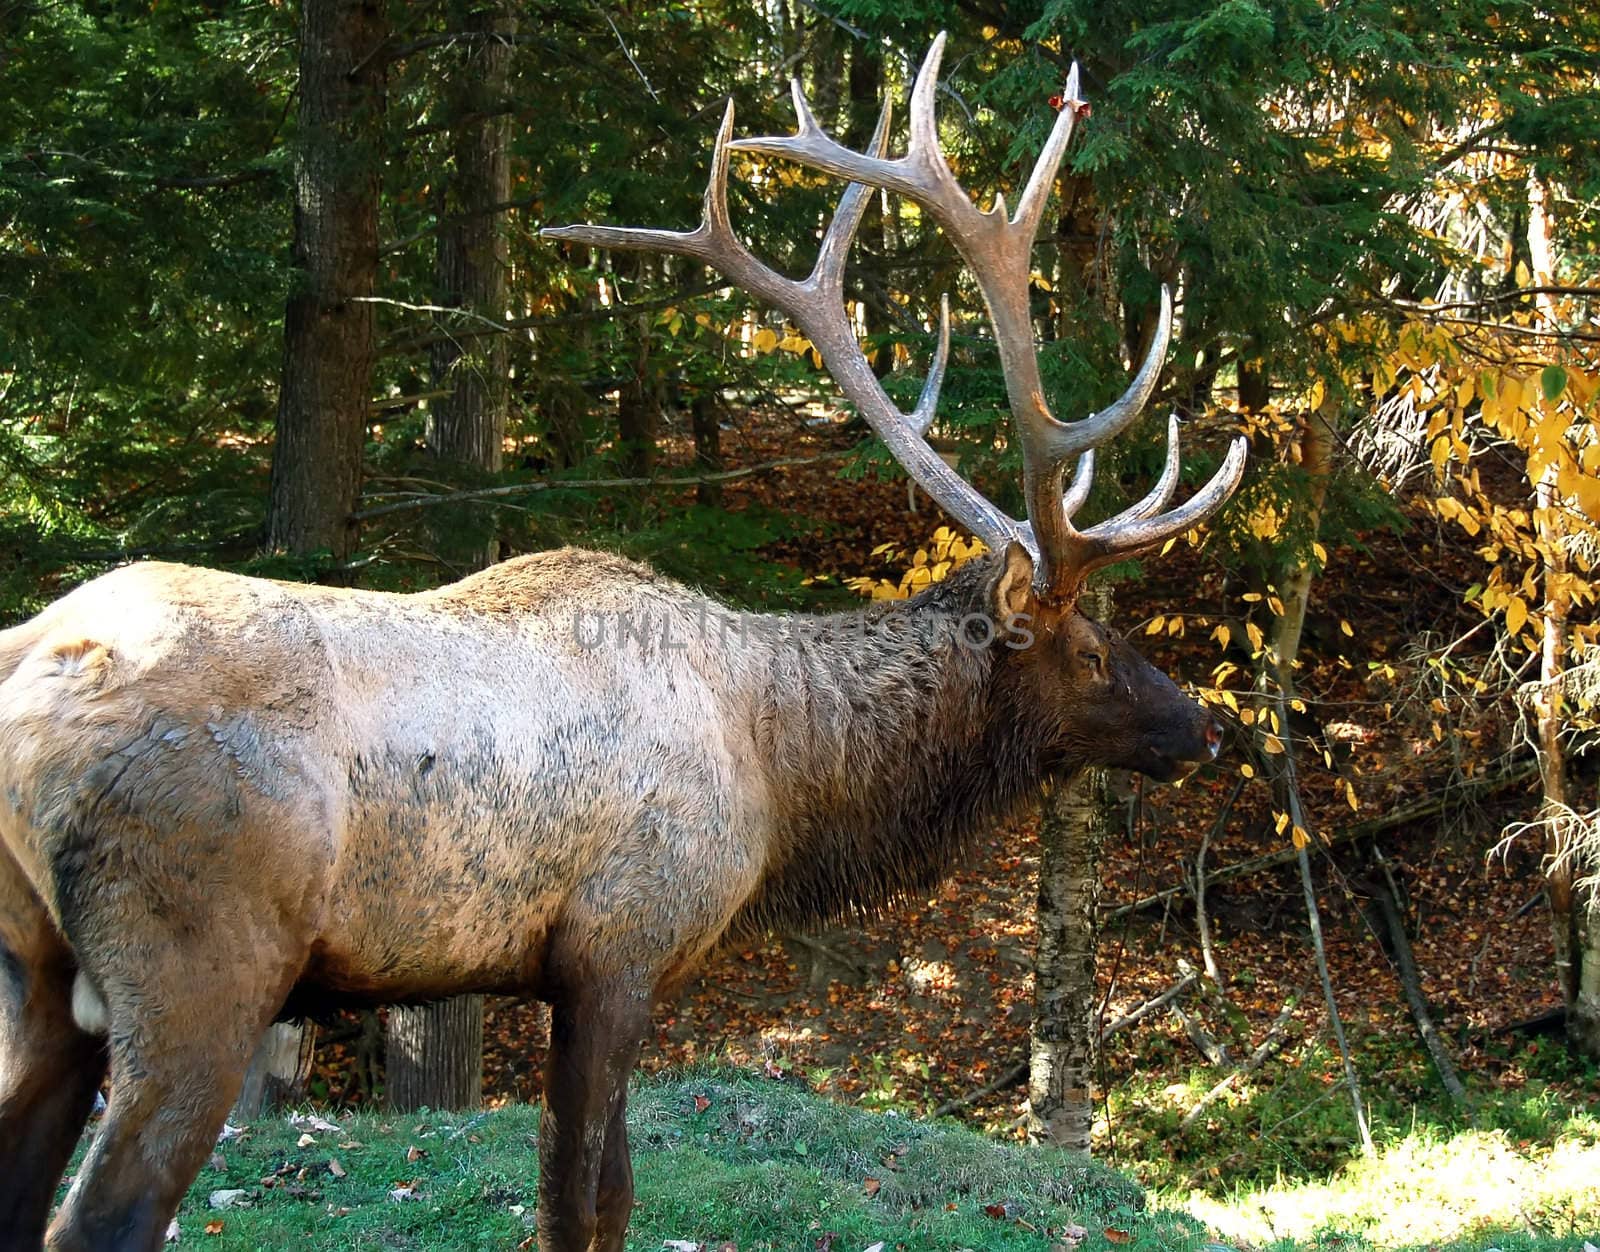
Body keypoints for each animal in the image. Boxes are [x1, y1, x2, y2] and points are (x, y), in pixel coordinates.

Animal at [0, 36, 1241, 1252]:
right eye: (1091, 650)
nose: (1203, 727)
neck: (784, 771)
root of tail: (32, 672)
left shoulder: (569, 969)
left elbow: (606, 1193)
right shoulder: (619, 946)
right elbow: (582, 1201)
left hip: (41, 974)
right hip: (198, 962)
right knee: (103, 1212)